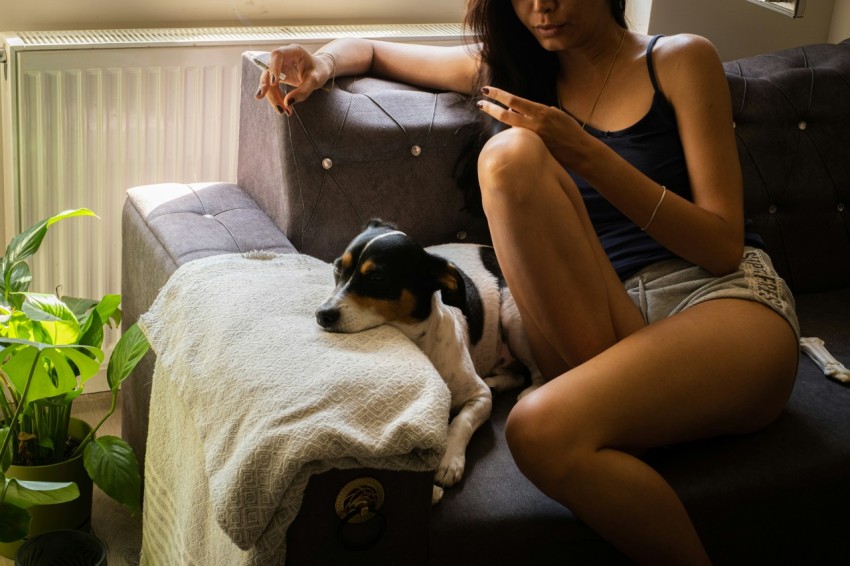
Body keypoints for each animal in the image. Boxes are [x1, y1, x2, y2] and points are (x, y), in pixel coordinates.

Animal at [314, 220, 540, 500]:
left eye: (377, 277)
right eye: (337, 268)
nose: (322, 314)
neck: (421, 343)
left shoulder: (480, 397)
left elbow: (460, 422)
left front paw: (449, 462)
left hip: (513, 319)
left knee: (534, 373)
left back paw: (529, 391)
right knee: (515, 374)